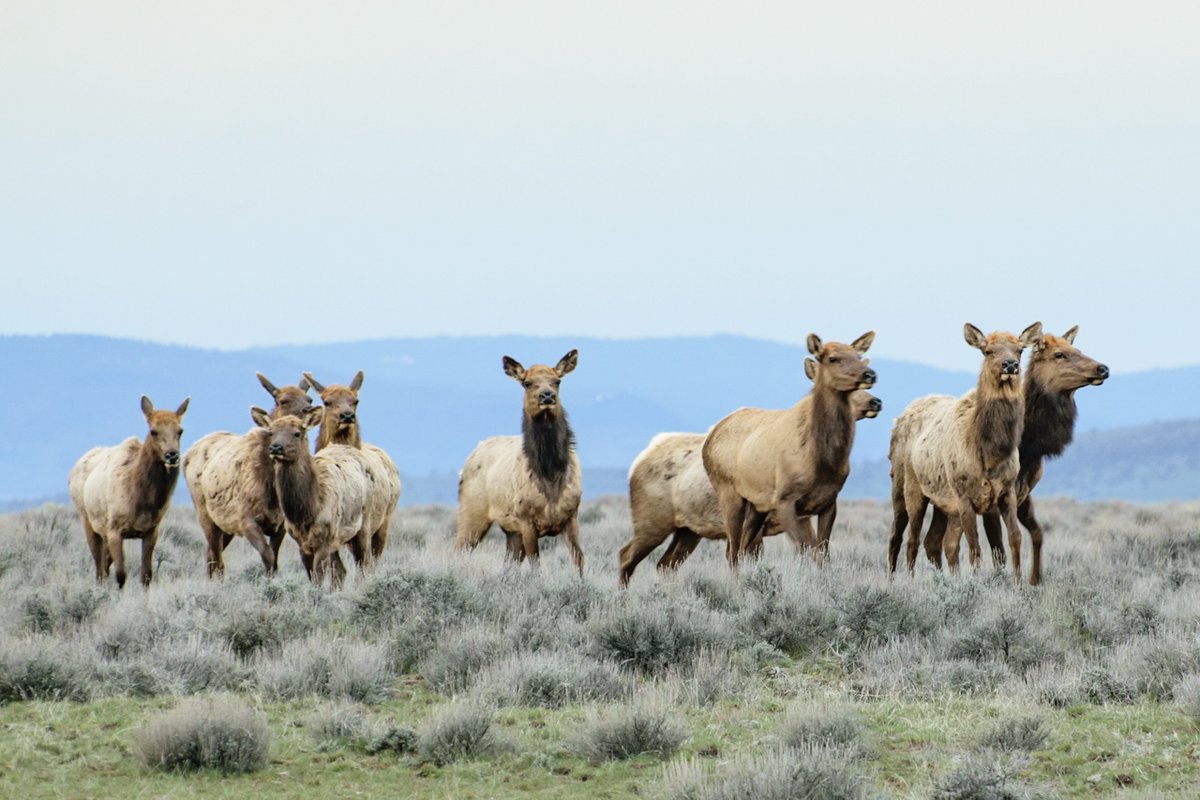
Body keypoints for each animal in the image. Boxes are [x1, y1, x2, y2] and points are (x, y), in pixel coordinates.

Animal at [68, 395, 189, 588]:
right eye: (153, 431)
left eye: (180, 430)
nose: (172, 455)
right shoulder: (114, 530)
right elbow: (121, 575)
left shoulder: (151, 531)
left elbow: (146, 575)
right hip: (87, 520)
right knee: (99, 569)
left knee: (104, 566)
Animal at [455, 349, 584, 574]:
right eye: (527, 383)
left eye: (557, 381)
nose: (547, 396)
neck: (551, 476)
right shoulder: (526, 520)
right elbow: (536, 565)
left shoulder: (572, 516)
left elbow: (579, 561)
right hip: (471, 512)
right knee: (457, 551)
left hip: (510, 531)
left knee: (509, 563)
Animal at [702, 332, 876, 569]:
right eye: (833, 358)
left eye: (858, 356)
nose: (870, 375)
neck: (823, 461)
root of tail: (711, 436)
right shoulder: (785, 500)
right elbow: (808, 551)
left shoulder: (829, 501)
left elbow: (822, 555)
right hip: (728, 491)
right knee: (734, 551)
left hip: (757, 504)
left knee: (742, 547)